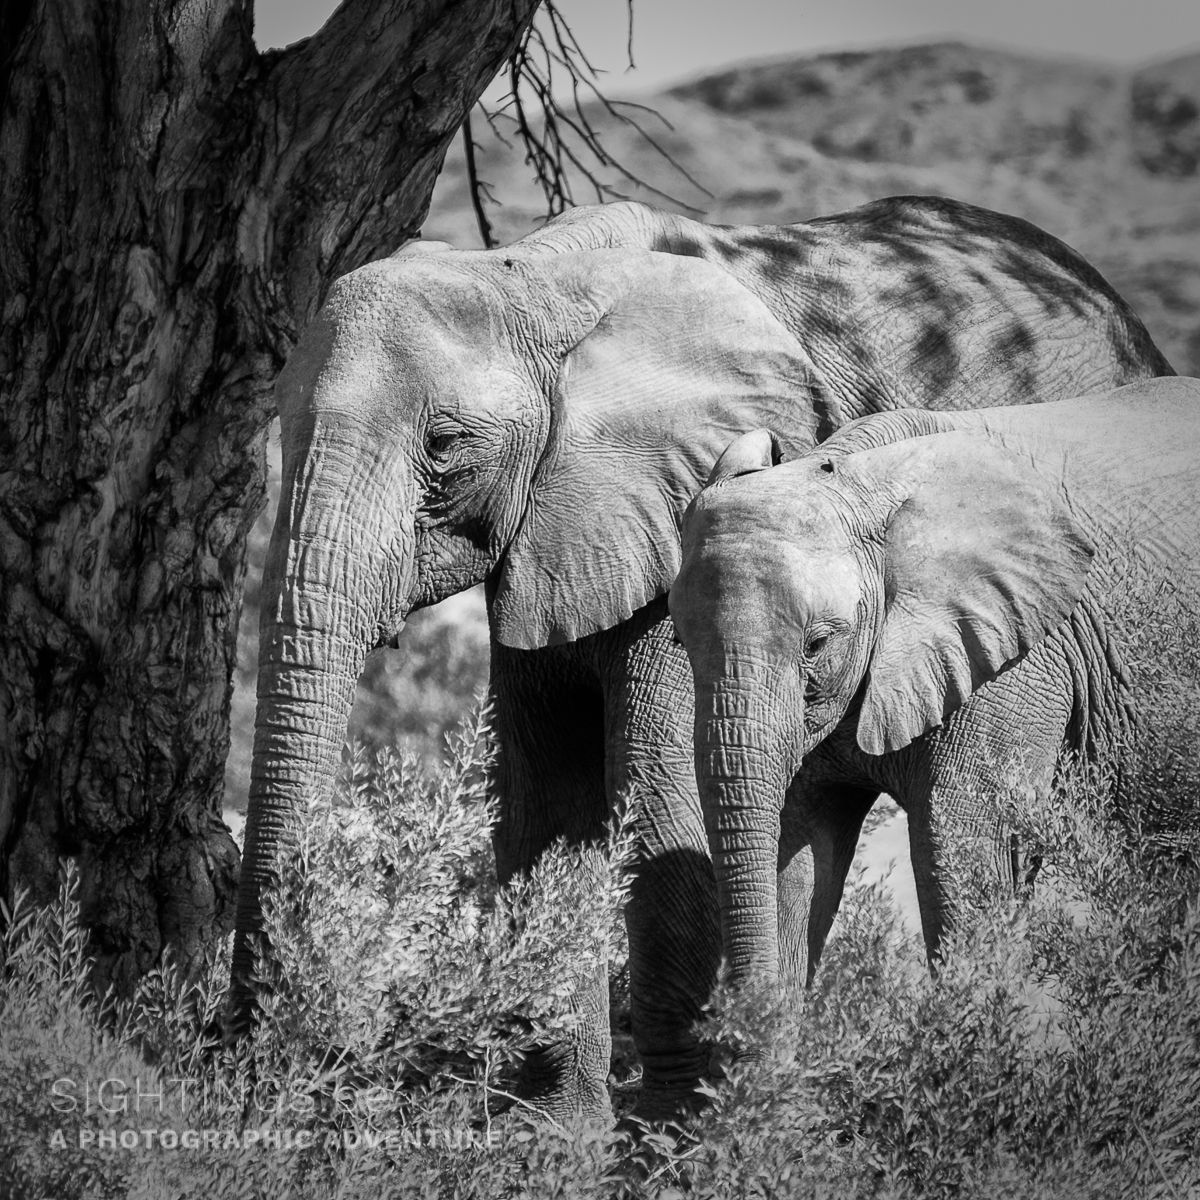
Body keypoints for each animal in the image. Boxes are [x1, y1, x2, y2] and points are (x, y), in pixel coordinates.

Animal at [669, 377, 1200, 993]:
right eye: (680, 642)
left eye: (817, 644)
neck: (861, 475)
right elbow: (797, 856)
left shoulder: (1015, 658)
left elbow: (968, 854)